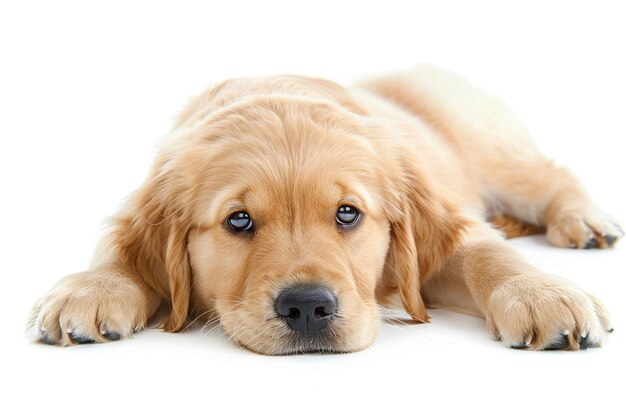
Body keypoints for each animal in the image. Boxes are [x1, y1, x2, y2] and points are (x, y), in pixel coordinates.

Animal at [29, 66, 620, 352]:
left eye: (348, 213)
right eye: (238, 219)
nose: (308, 308)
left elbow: (485, 254)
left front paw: (542, 296)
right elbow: (118, 249)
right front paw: (91, 290)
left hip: (492, 153)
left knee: (550, 175)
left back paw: (586, 221)